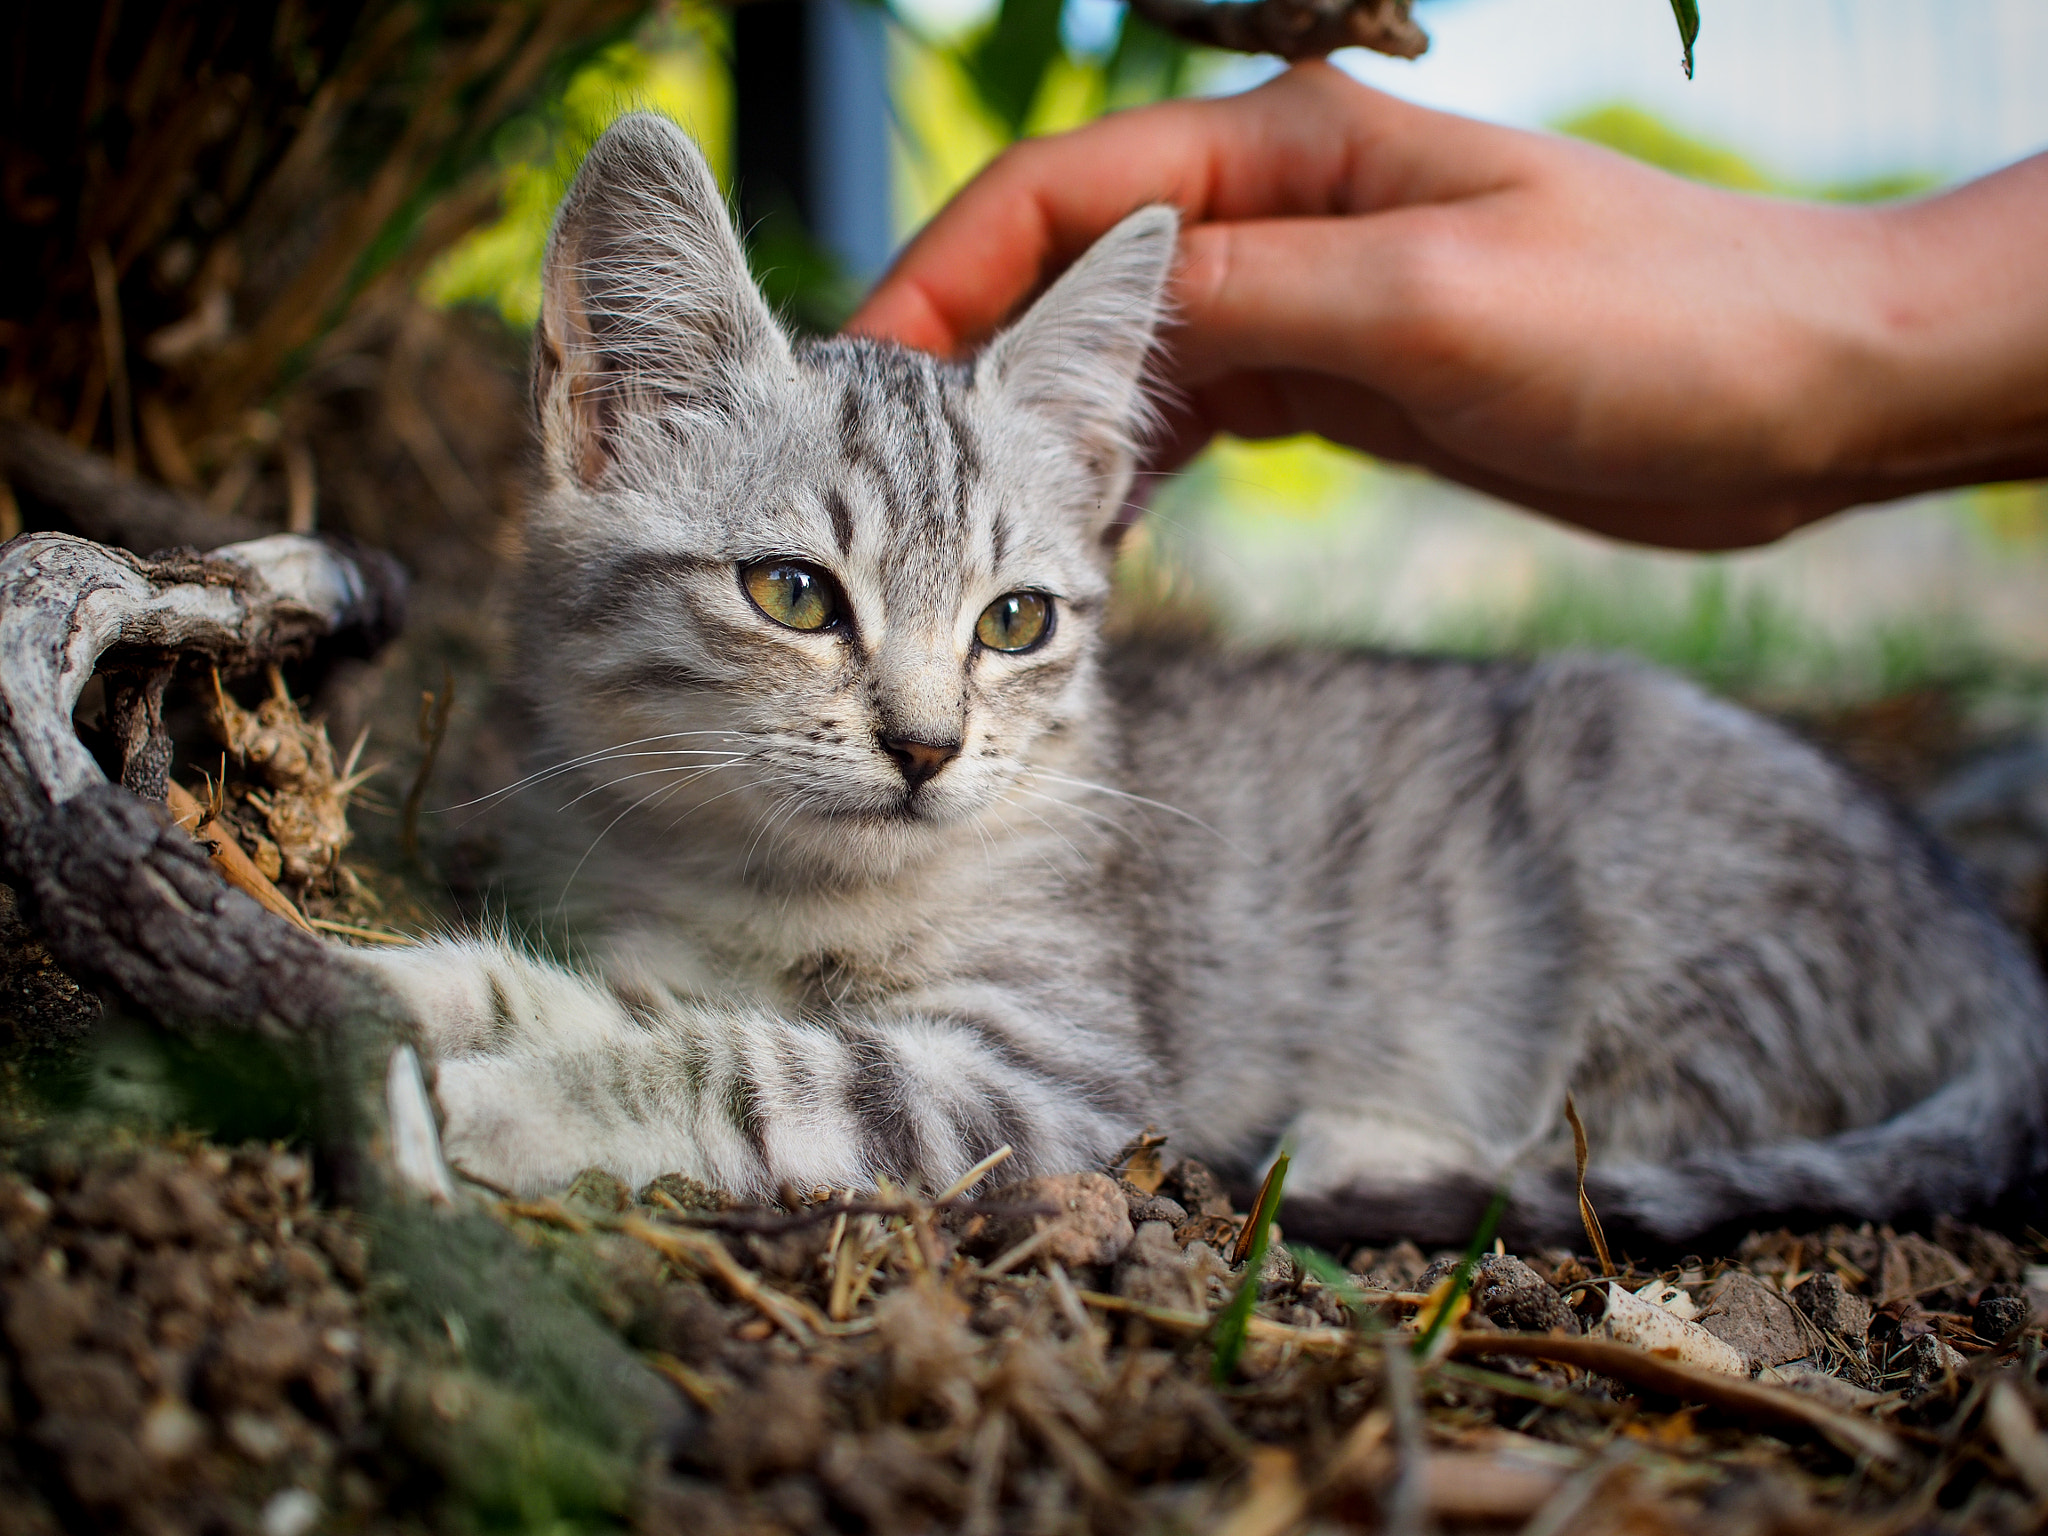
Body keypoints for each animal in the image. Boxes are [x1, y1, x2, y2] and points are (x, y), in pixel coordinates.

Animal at [364, 120, 2048, 1253]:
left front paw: (520, 1100)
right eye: (792, 594)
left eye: (1014, 623)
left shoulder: (1056, 1086)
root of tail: (1987, 936)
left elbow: (761, 1069)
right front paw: (410, 993)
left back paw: (1366, 1147)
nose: (925, 748)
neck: (769, 889)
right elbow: (598, 991)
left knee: (1619, 1137)